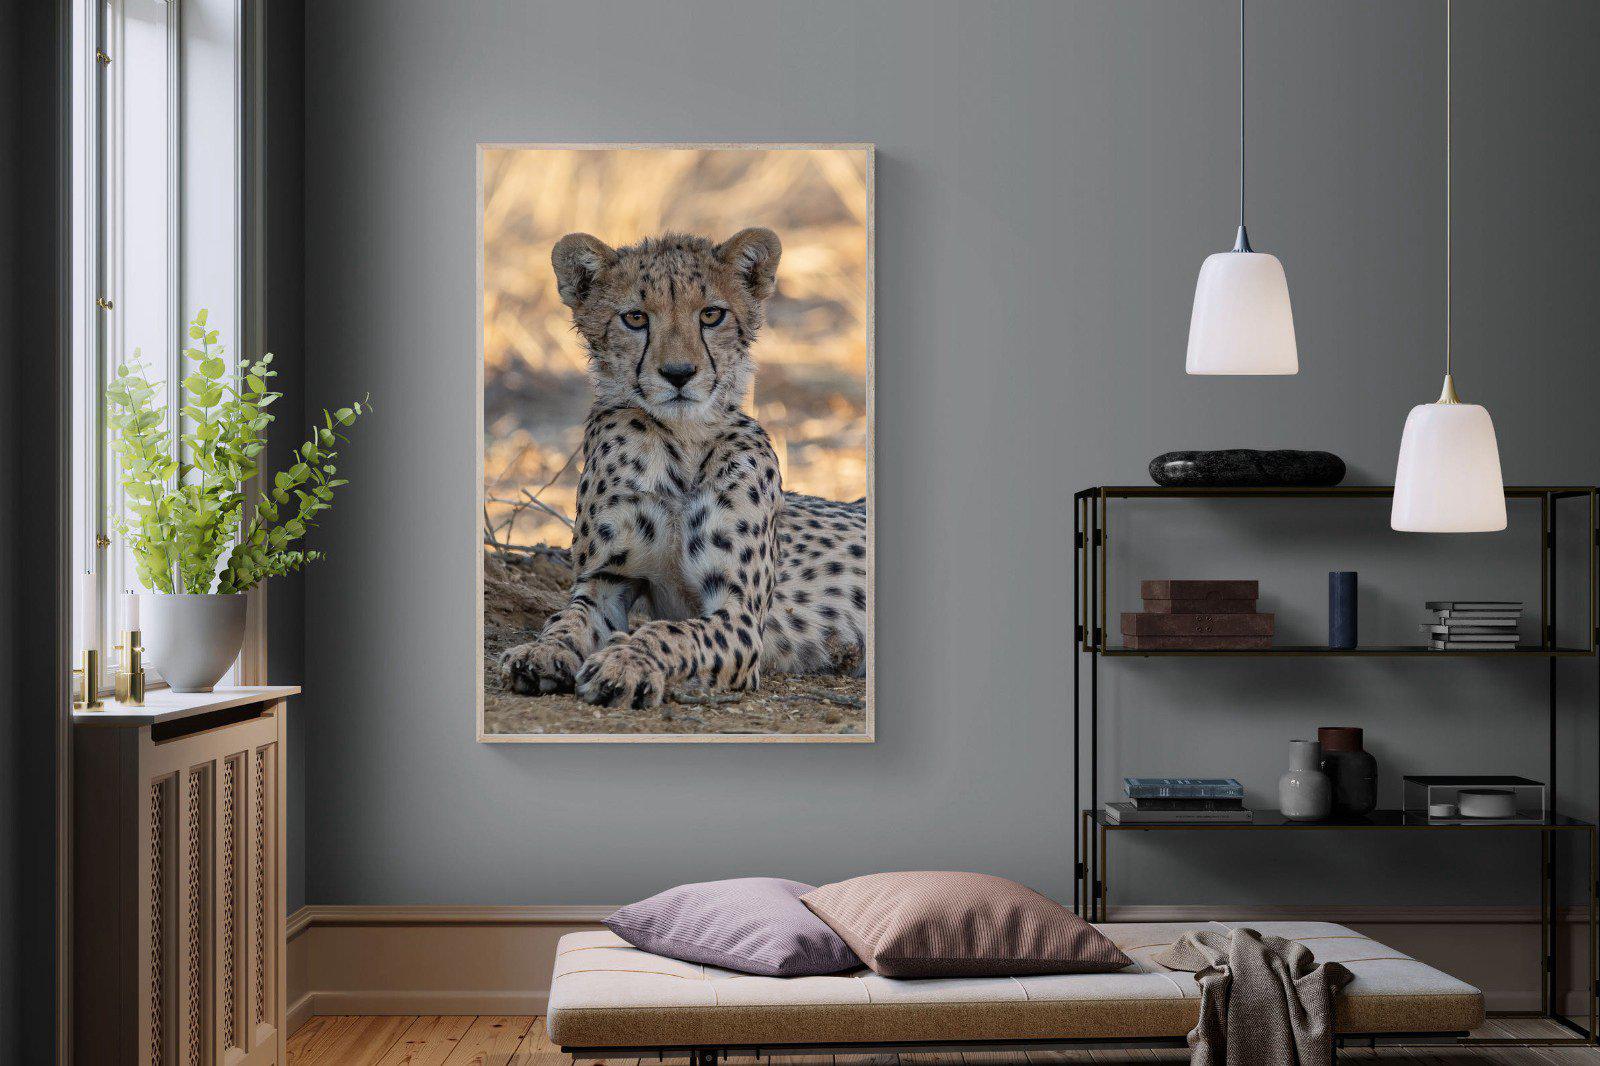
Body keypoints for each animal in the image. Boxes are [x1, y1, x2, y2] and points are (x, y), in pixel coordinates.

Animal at [498, 227, 868, 710]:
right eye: (635, 318)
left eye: (711, 314)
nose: (678, 373)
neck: (682, 444)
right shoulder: (606, 581)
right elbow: (567, 619)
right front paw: (541, 652)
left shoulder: (739, 614)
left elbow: (671, 632)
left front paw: (625, 663)